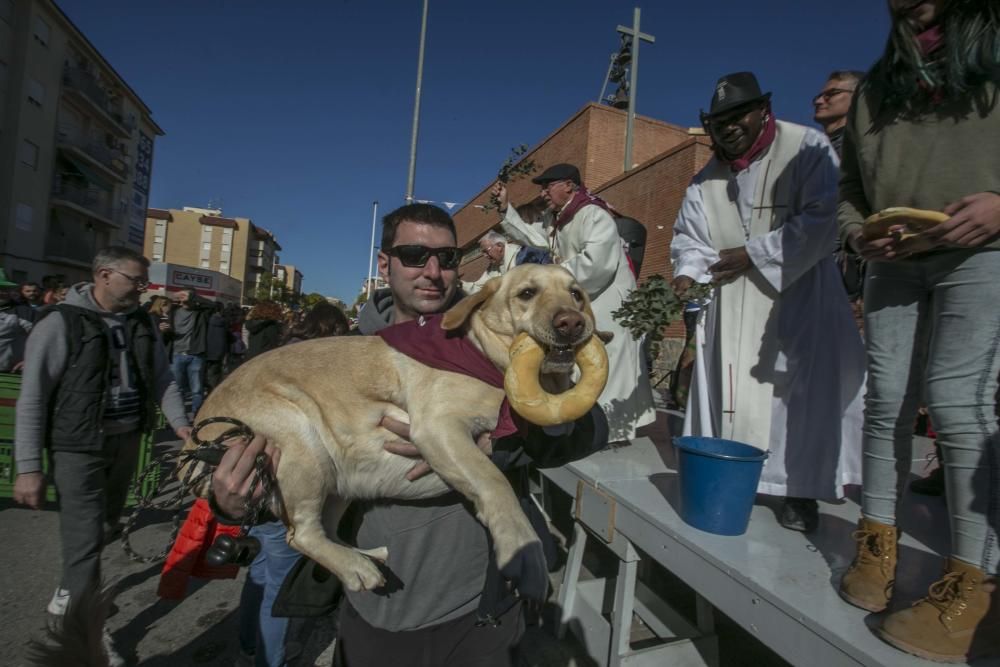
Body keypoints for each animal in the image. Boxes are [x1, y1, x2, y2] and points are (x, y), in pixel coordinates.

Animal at [183, 264, 604, 604]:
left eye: (576, 294)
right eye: (527, 293)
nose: (572, 322)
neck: (484, 358)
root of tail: (191, 443)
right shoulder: (438, 425)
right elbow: (495, 482)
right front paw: (524, 551)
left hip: (336, 477)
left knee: (323, 529)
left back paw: (365, 557)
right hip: (299, 439)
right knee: (299, 534)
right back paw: (356, 567)